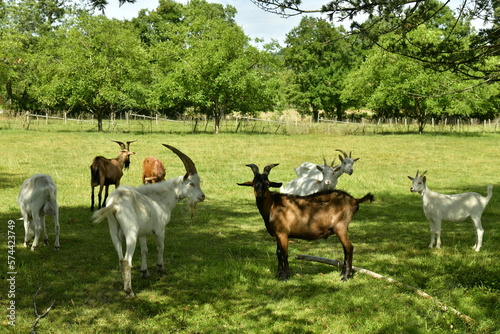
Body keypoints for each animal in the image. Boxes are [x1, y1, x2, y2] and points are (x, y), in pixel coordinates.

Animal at [93, 144, 204, 298]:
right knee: (126, 261)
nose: (202, 196)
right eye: (191, 183)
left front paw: (144, 272)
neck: (160, 198)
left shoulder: (142, 233)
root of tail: (115, 204)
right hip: (131, 234)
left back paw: (125, 286)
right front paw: (160, 268)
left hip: (114, 232)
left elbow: (144, 250)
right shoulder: (160, 230)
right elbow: (160, 247)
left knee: (120, 260)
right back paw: (129, 291)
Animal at [236, 163, 374, 280]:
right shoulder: (277, 234)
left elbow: (284, 253)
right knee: (345, 248)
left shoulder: (283, 233)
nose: (260, 195)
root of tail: (355, 200)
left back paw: (345, 277)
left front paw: (285, 276)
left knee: (349, 247)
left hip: (341, 226)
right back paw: (343, 273)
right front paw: (277, 274)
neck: (273, 205)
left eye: (267, 183)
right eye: (254, 183)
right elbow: (278, 252)